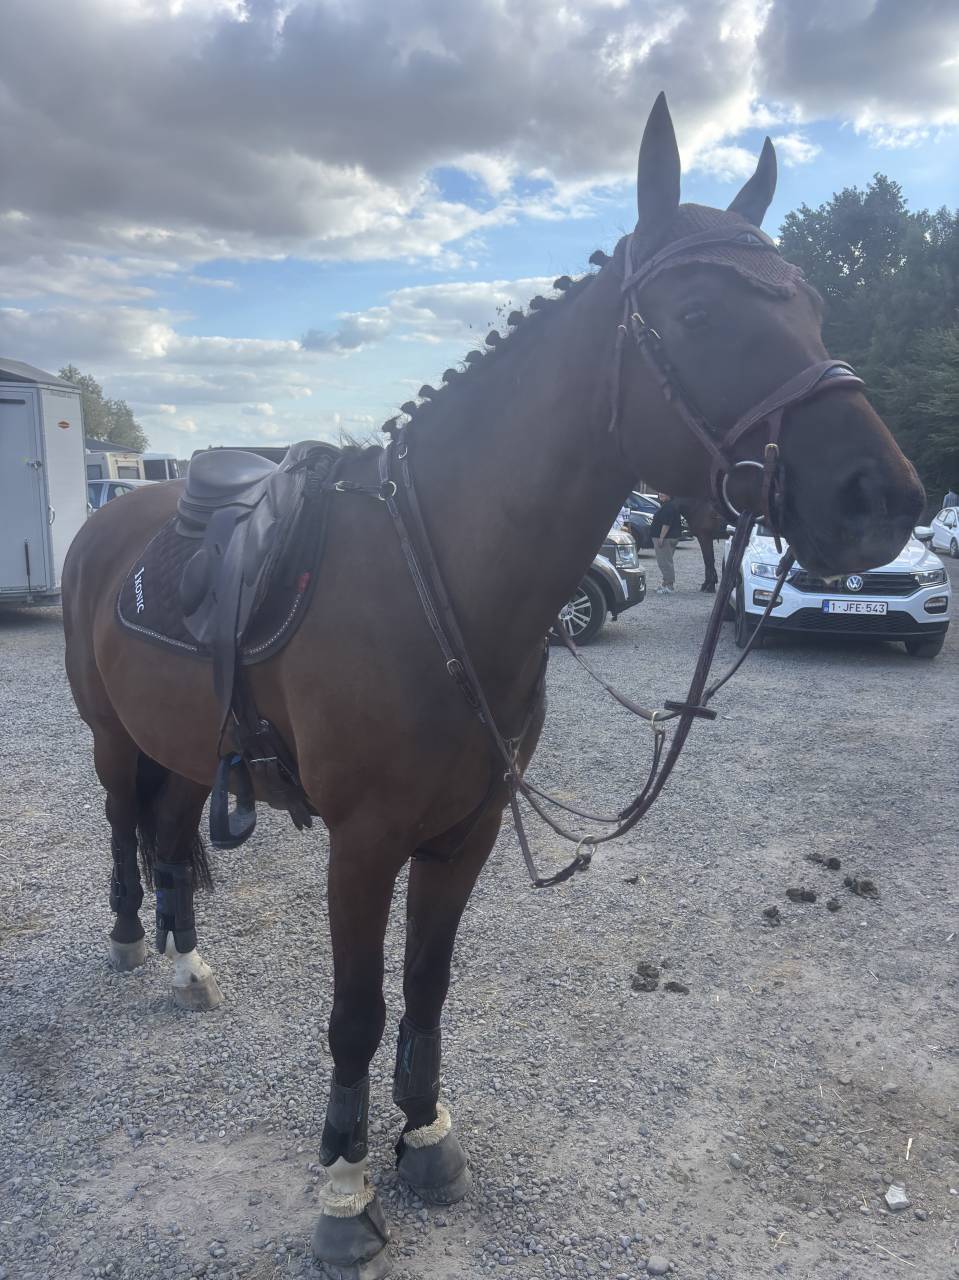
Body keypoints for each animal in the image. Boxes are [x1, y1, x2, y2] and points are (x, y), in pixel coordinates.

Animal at [62, 93, 923, 1278]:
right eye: (697, 311)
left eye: (813, 304)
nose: (880, 495)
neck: (438, 584)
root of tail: (113, 520)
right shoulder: (363, 843)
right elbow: (356, 1010)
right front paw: (344, 1186)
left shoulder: (463, 830)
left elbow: (427, 984)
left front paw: (424, 1136)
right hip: (110, 735)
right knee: (121, 824)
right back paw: (126, 939)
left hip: (187, 747)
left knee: (173, 834)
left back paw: (188, 964)